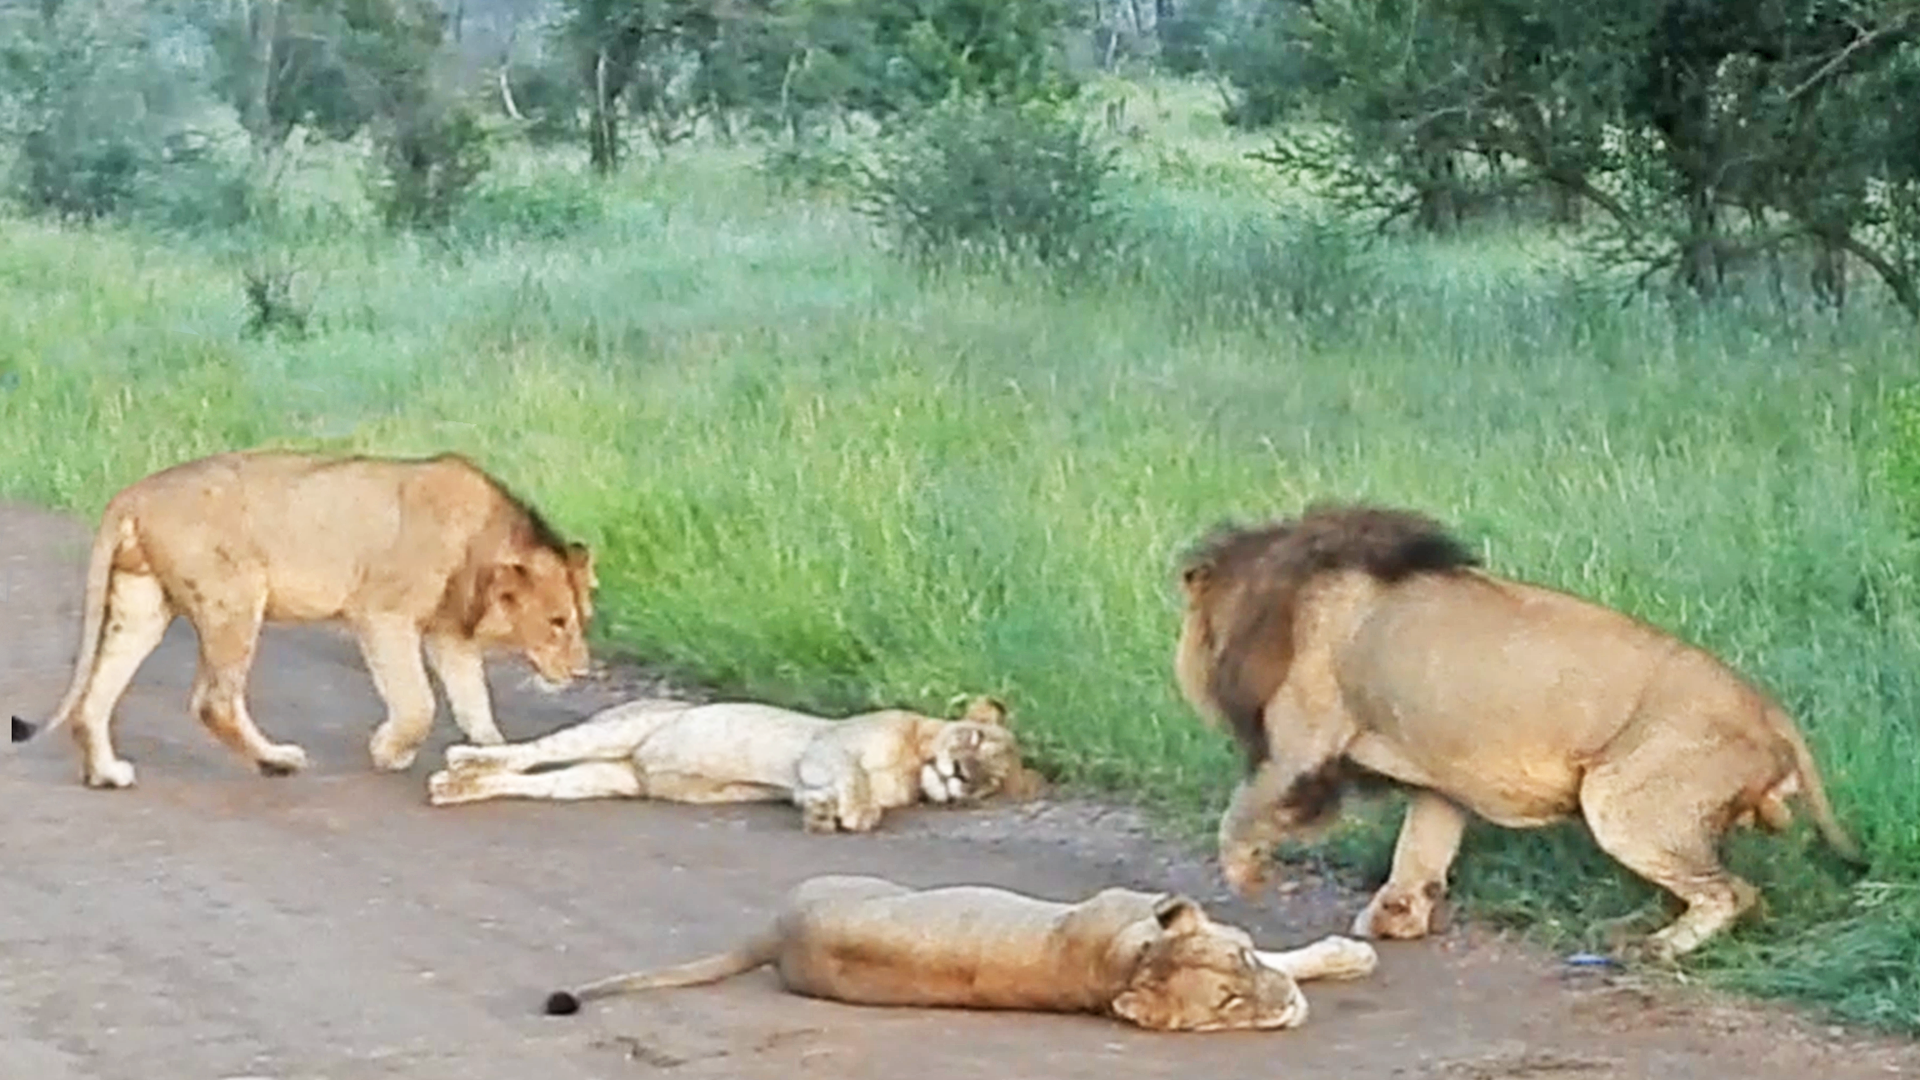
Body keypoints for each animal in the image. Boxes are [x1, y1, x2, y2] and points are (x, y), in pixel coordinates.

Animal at [11, 449, 596, 789]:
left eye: (582, 619)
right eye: (558, 622)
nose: (583, 672)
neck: (483, 540)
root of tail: (133, 493)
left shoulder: (449, 634)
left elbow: (474, 702)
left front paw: (494, 757)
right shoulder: (382, 613)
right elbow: (418, 703)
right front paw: (390, 752)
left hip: (143, 604)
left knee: (95, 697)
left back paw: (107, 773)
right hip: (235, 598)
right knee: (214, 701)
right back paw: (276, 761)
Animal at [1174, 503, 1864, 962]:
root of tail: (1769, 709)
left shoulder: (1301, 742)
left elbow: (1242, 811)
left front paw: (1246, 877)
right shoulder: (1440, 782)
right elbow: (1419, 852)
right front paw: (1396, 916)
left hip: (1625, 803)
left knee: (1733, 892)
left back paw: (1657, 949)